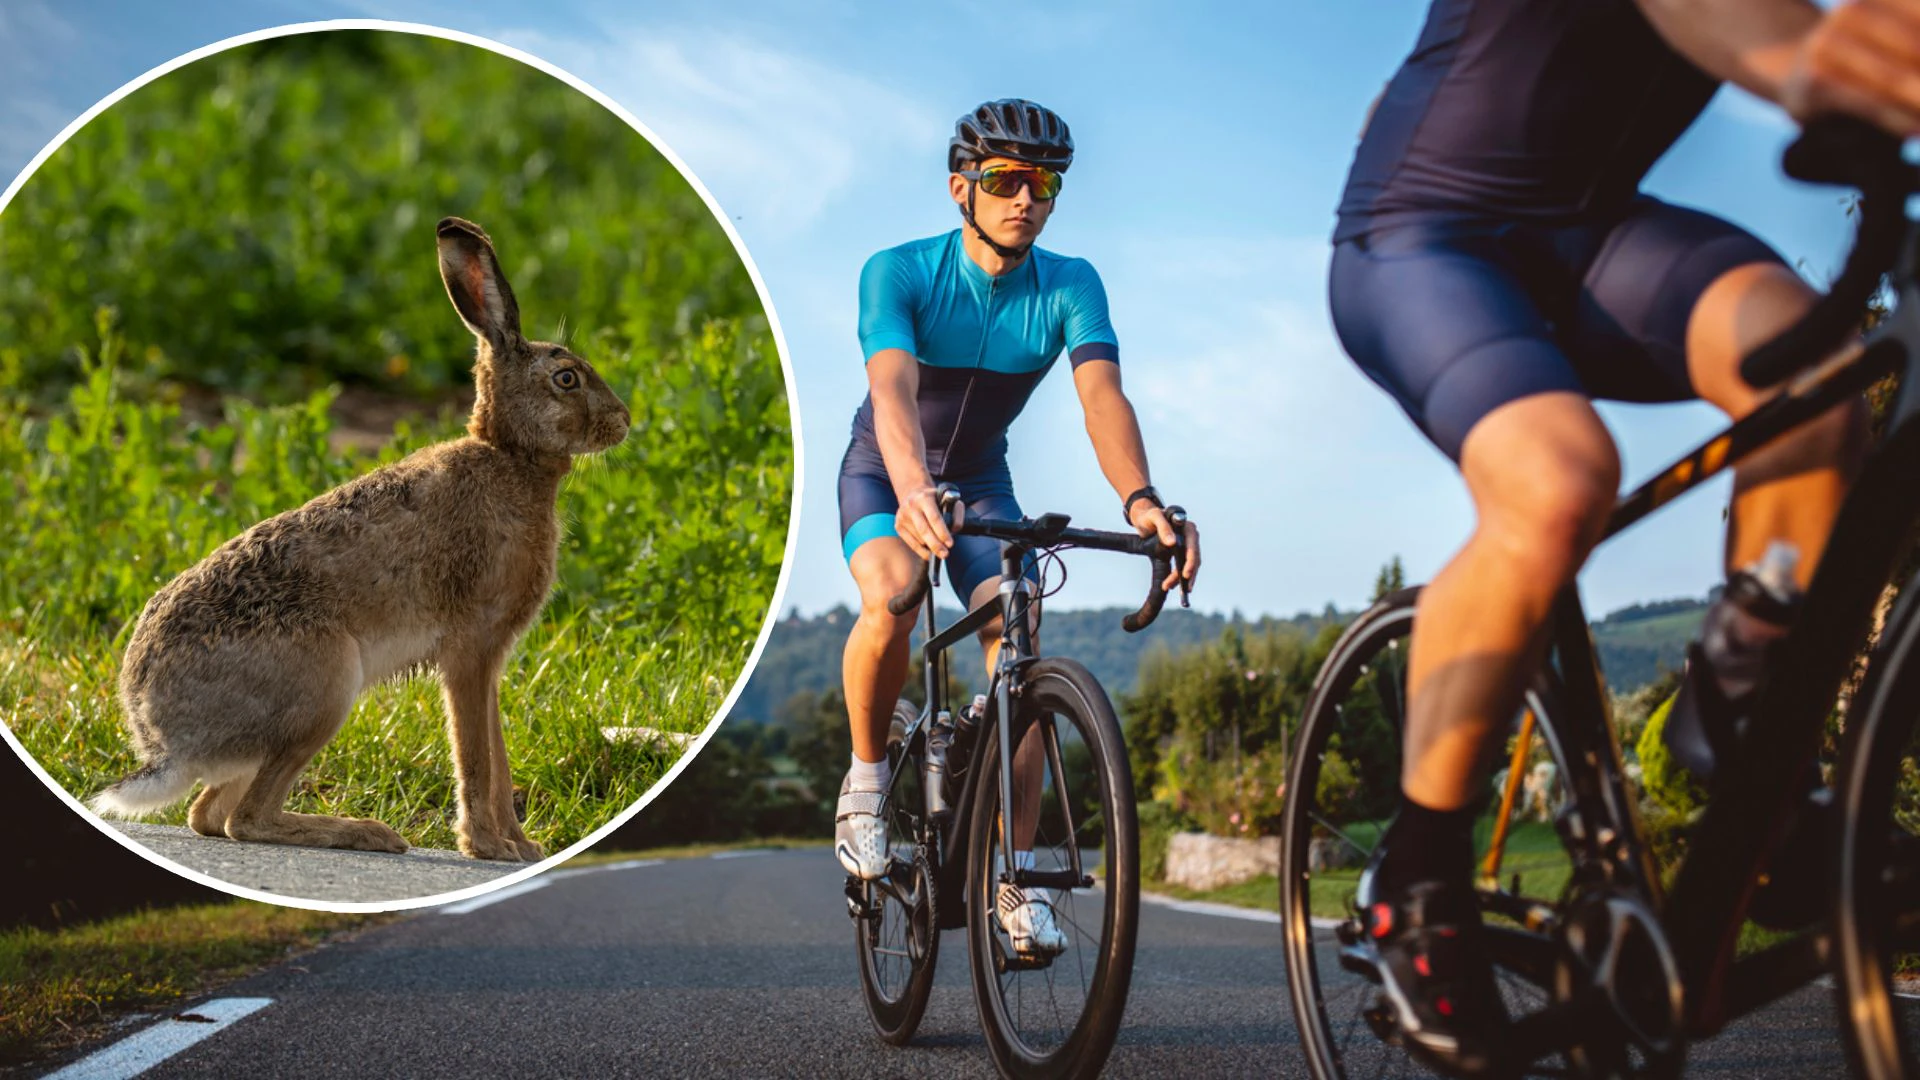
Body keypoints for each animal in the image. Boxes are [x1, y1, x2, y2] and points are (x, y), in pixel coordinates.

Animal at [89, 217, 631, 863]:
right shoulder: (471, 647)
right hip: (325, 685)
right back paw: (368, 833)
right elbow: (476, 753)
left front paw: (523, 848)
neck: (510, 457)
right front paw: (488, 847)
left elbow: (496, 751)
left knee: (209, 814)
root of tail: (161, 738)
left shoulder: (490, 657)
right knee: (245, 819)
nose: (625, 421)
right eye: (566, 378)